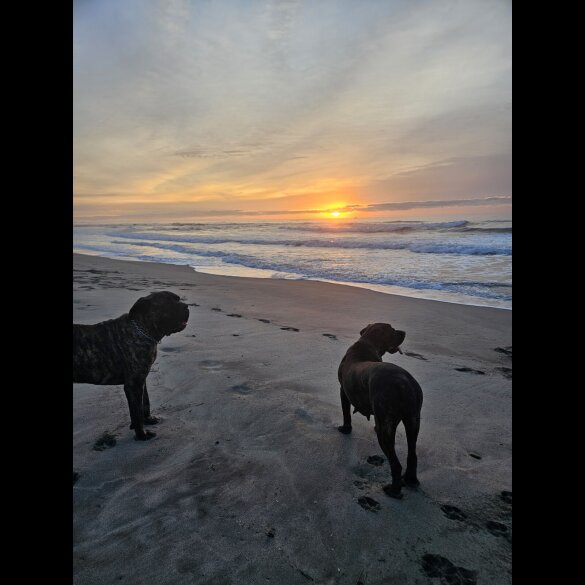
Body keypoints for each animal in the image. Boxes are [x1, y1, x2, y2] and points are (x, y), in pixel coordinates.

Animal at [72, 290, 188, 440]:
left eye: (178, 299)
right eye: (167, 303)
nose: (186, 306)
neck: (142, 330)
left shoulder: (141, 380)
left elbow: (144, 403)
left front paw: (147, 420)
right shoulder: (134, 384)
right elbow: (137, 411)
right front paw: (142, 434)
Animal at [336, 324, 422, 498]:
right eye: (392, 330)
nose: (404, 332)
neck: (368, 343)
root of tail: (404, 383)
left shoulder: (343, 391)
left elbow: (346, 413)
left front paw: (345, 429)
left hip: (384, 427)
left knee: (395, 464)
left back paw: (393, 490)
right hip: (413, 420)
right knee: (412, 453)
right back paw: (410, 480)